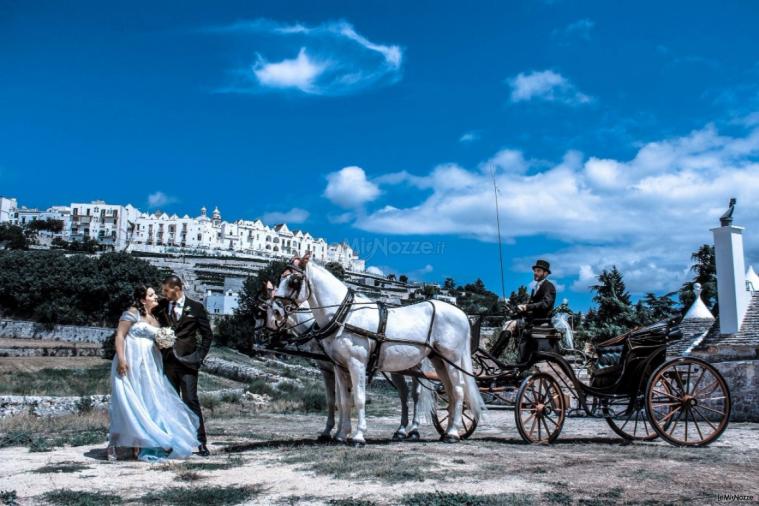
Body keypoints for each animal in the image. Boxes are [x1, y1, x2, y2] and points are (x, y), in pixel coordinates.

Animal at [284, 302, 434, 440]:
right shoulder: (328, 369)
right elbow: (334, 399)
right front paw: (332, 431)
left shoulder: (339, 367)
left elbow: (341, 399)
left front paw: (340, 431)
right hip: (398, 367)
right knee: (403, 393)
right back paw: (401, 430)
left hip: (417, 366)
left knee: (416, 394)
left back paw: (414, 429)